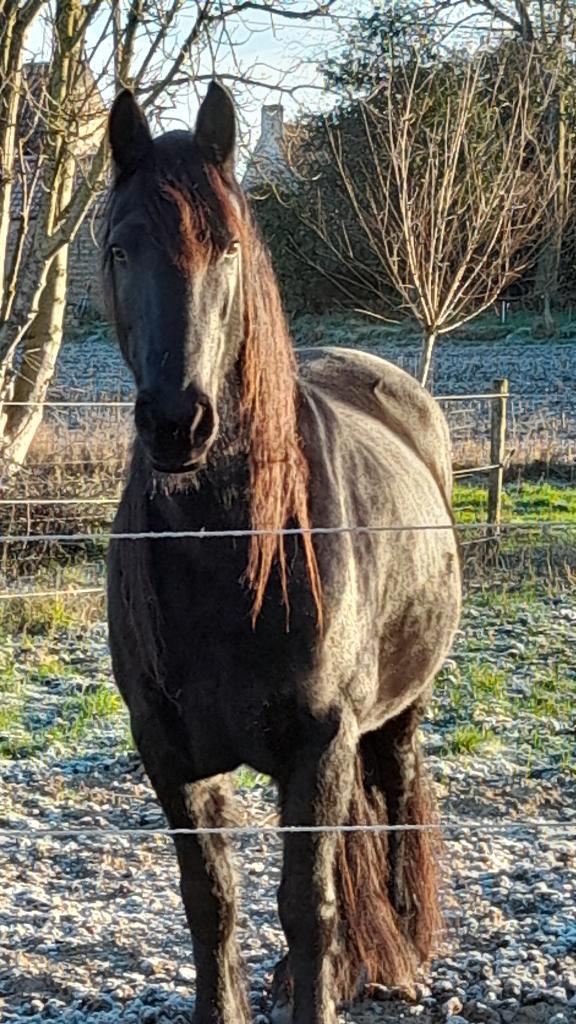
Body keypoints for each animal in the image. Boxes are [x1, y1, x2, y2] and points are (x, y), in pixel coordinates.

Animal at [104, 81, 461, 1024]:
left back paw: (404, 950)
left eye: (227, 245)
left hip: (395, 716)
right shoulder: (170, 753)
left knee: (395, 794)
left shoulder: (321, 743)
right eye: (118, 247)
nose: (177, 423)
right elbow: (213, 902)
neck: (221, 554)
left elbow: (309, 907)